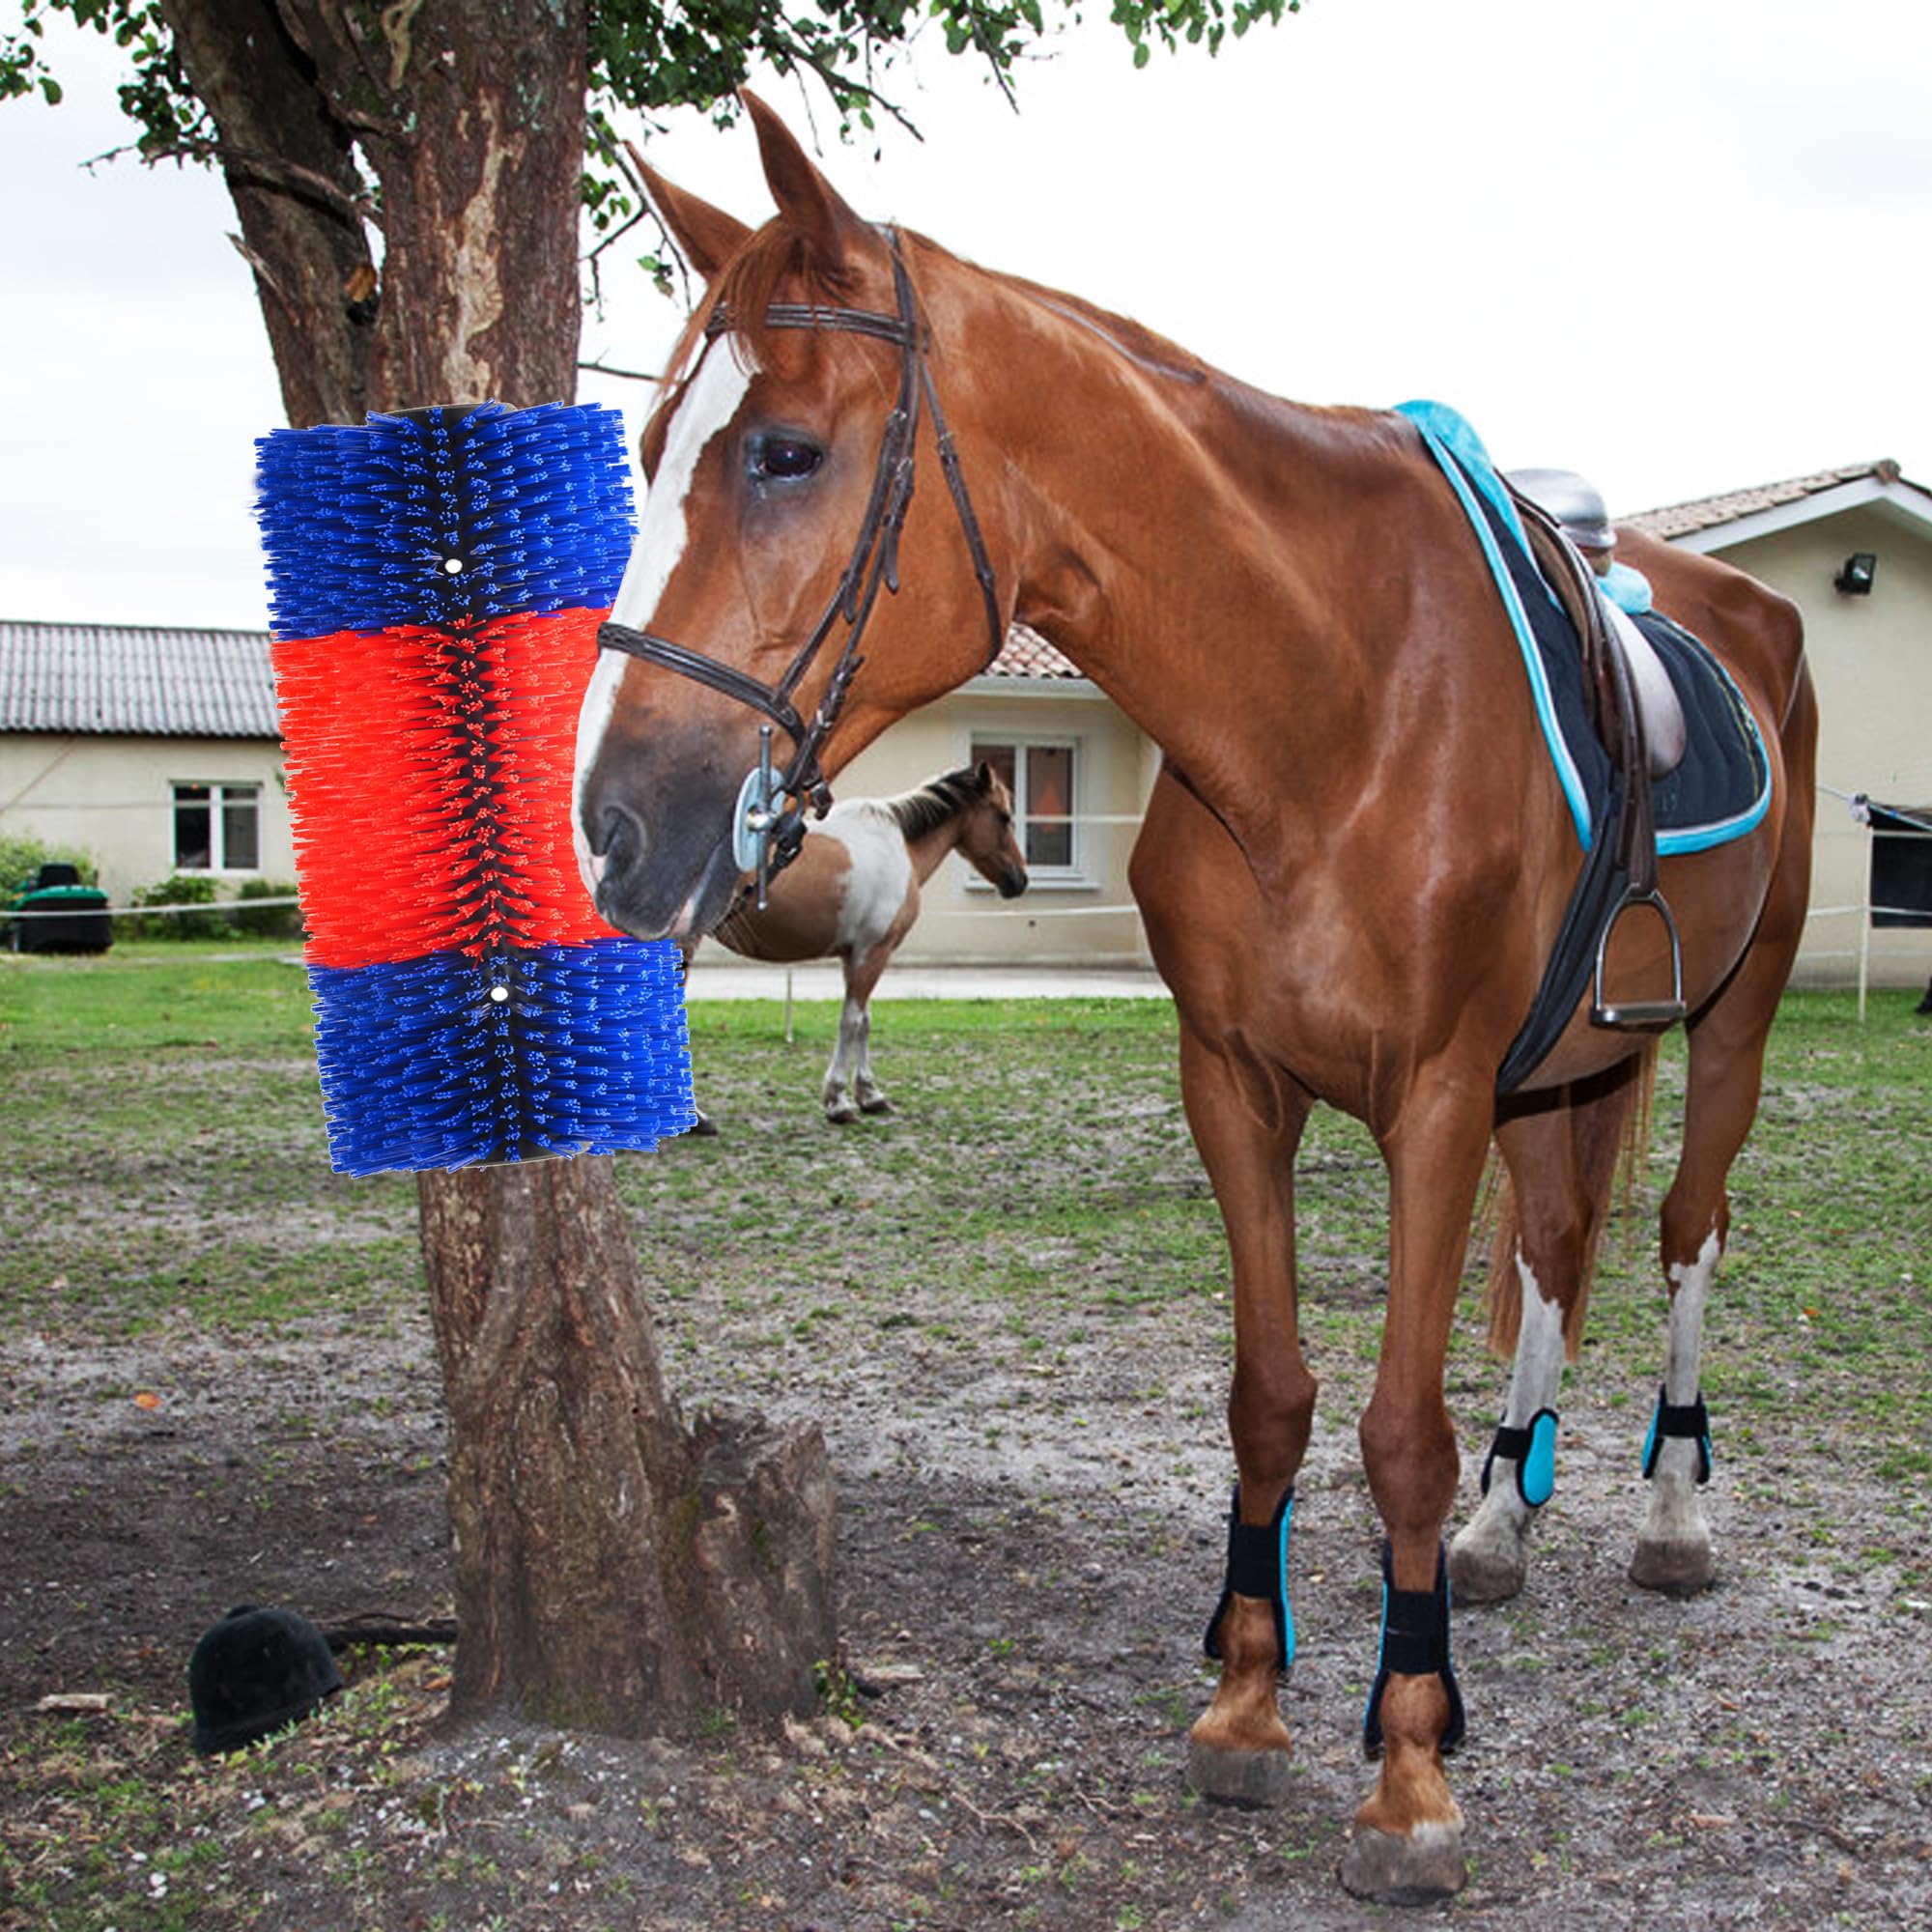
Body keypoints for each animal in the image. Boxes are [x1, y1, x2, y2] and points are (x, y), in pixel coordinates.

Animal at [699, 761, 1026, 1122]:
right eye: (1003, 816)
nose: (1020, 880)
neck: (900, 847)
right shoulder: (875, 951)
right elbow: (851, 1021)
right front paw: (837, 1100)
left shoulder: (856, 955)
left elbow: (865, 1021)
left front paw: (869, 1094)